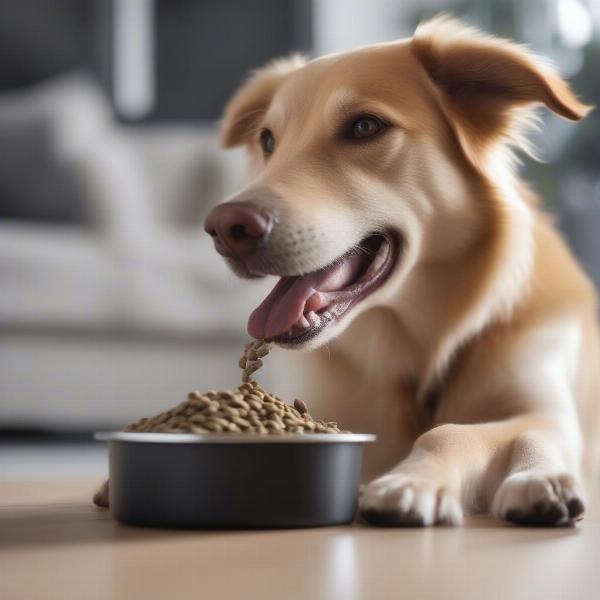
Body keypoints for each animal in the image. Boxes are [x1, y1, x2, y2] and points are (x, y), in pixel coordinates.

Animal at [203, 16, 600, 528]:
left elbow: (459, 430)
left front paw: (527, 478)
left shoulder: (545, 408)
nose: (225, 229)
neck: (422, 347)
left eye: (365, 126)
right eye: (268, 141)